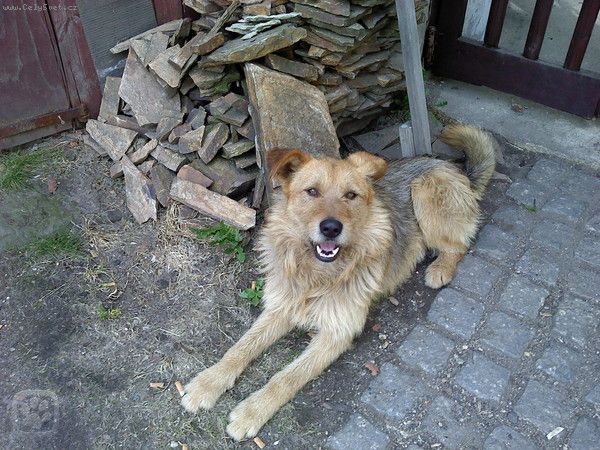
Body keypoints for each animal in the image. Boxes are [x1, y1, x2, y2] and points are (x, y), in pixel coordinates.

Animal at [182, 123, 496, 440]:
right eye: (312, 191)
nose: (331, 228)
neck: (317, 275)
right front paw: (207, 383)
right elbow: (240, 348)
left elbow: (287, 377)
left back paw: (440, 268)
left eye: (351, 195)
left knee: (459, 245)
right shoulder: (280, 307)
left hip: (424, 189)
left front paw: (251, 412)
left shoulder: (337, 332)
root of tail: (454, 169)